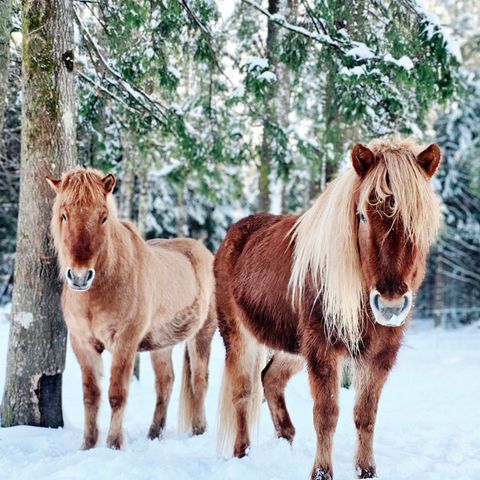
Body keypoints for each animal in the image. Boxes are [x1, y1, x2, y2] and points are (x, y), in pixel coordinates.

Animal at [46, 169, 216, 450]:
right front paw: (88, 445)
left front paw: (114, 444)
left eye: (103, 217)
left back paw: (199, 431)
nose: (80, 277)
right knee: (165, 382)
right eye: (64, 214)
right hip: (161, 344)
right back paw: (154, 434)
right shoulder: (82, 344)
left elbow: (117, 393)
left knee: (199, 381)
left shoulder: (125, 342)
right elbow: (91, 395)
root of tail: (206, 253)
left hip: (202, 334)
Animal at [216, 139, 440, 480]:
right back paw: (243, 453)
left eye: (418, 220)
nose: (390, 305)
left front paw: (366, 471)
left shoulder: (380, 355)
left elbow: (365, 415)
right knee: (243, 391)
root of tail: (234, 233)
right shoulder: (322, 350)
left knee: (271, 379)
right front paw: (321, 473)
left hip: (292, 347)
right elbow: (326, 414)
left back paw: (286, 440)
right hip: (239, 335)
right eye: (361, 216)